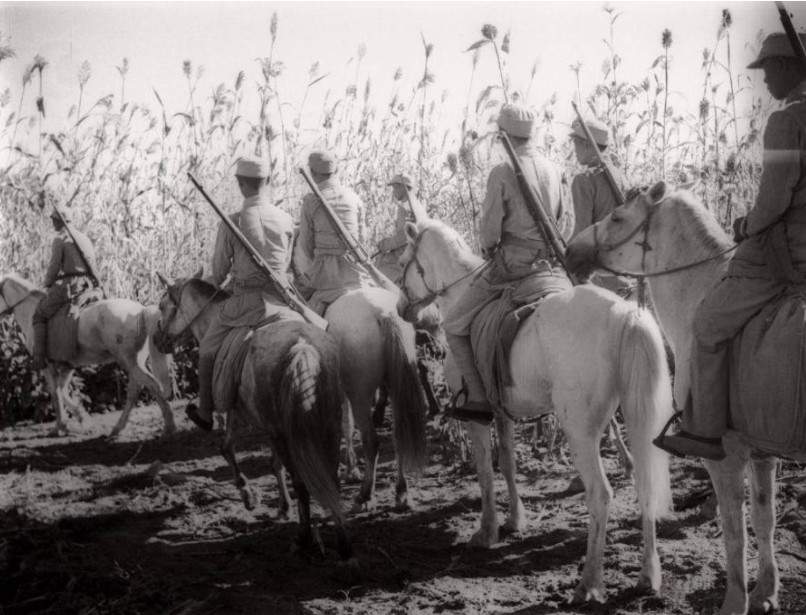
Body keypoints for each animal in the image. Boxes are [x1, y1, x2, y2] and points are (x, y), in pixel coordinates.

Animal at [0, 274, 176, 438]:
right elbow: (62, 391)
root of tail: (141, 311)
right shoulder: (67, 366)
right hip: (134, 363)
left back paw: (169, 427)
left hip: (128, 361)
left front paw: (62, 426)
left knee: (152, 385)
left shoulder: (47, 366)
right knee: (135, 390)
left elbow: (55, 394)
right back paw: (118, 429)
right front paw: (80, 419)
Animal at [398, 219, 676, 604]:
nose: (403, 310)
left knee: (600, 496)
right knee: (645, 483)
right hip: (636, 420)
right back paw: (649, 576)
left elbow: (485, 471)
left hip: (580, 433)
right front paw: (515, 520)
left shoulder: (475, 420)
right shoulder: (501, 412)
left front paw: (487, 531)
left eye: (402, 262)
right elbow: (508, 463)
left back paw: (589, 583)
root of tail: (624, 313)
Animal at [564, 182, 800, 615]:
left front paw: (735, 601)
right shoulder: (762, 453)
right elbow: (764, 519)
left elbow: (735, 531)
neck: (704, 290)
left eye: (618, 217)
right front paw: (765, 593)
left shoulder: (725, 456)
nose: (572, 251)